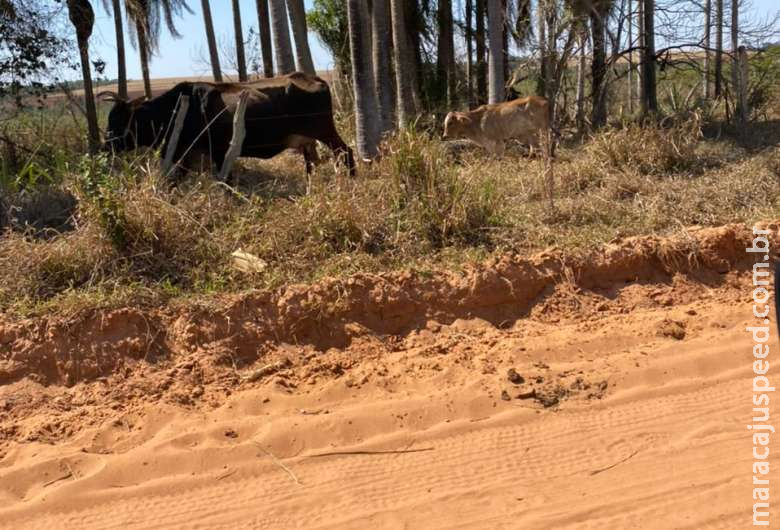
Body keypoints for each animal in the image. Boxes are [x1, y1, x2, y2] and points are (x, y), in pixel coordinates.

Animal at [103, 71, 356, 178]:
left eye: (120, 121)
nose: (106, 146)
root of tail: (314, 78)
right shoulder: (190, 154)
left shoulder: (217, 151)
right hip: (308, 139)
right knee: (311, 161)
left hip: (325, 131)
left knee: (346, 152)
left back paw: (352, 179)